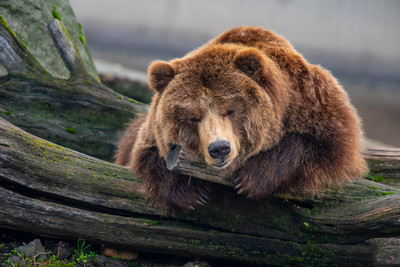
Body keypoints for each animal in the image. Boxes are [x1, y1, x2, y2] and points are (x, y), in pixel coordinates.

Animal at [114, 26, 368, 211]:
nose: (219, 148)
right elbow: (147, 155)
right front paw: (192, 193)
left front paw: (252, 179)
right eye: (192, 117)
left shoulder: (310, 99)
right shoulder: (150, 133)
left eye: (231, 109)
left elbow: (329, 145)